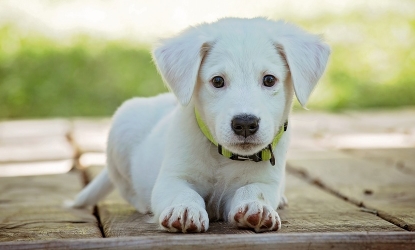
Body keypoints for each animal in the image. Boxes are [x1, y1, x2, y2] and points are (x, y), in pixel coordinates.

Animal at [71, 17, 332, 232]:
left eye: (269, 80)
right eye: (217, 81)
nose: (245, 124)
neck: (223, 157)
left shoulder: (265, 181)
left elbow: (254, 190)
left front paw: (255, 207)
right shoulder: (172, 178)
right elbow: (183, 192)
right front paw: (185, 209)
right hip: (122, 129)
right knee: (128, 190)